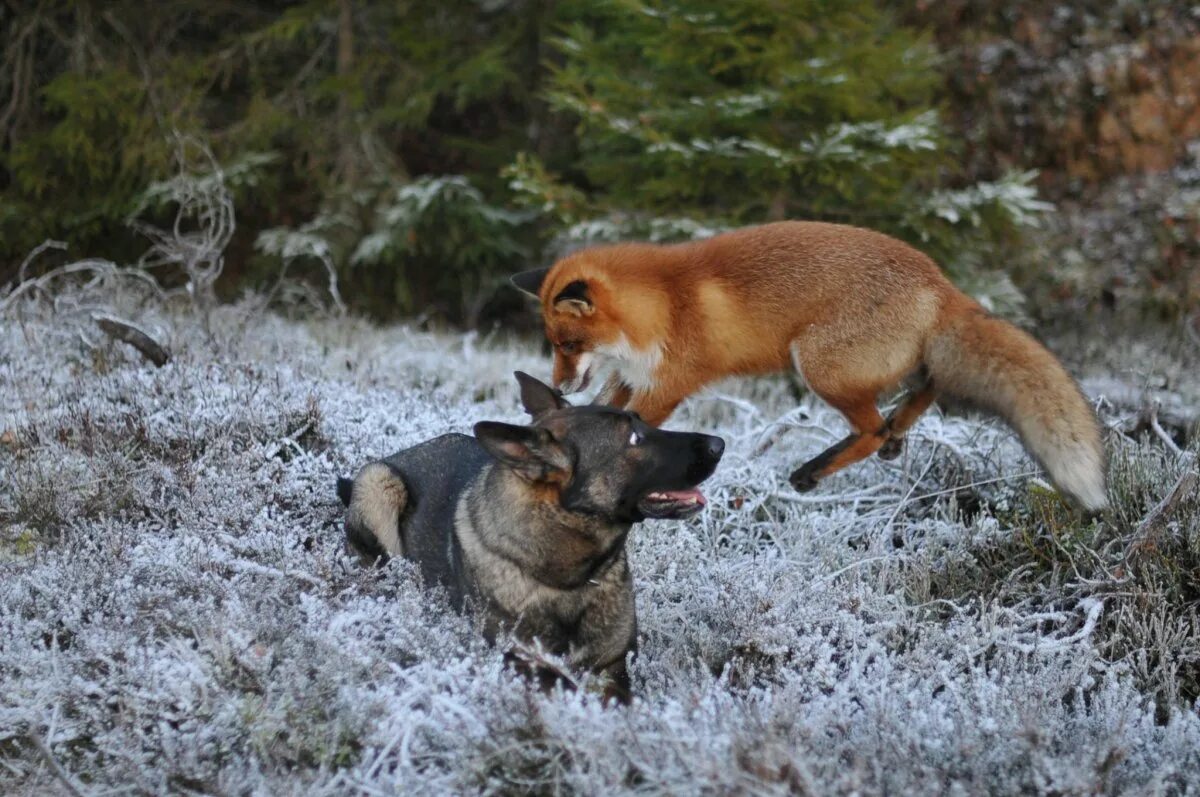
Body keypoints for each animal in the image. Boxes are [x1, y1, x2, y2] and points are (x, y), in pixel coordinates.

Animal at [343, 369, 724, 700]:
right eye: (635, 438)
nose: (719, 444)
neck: (572, 579)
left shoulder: (614, 666)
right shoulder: (519, 661)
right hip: (380, 485)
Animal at [513, 220, 1104, 506]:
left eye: (567, 343)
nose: (561, 384)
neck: (663, 306)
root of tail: (941, 283)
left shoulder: (669, 384)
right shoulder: (628, 380)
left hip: (819, 366)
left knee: (872, 426)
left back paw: (815, 469)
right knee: (926, 388)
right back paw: (895, 436)